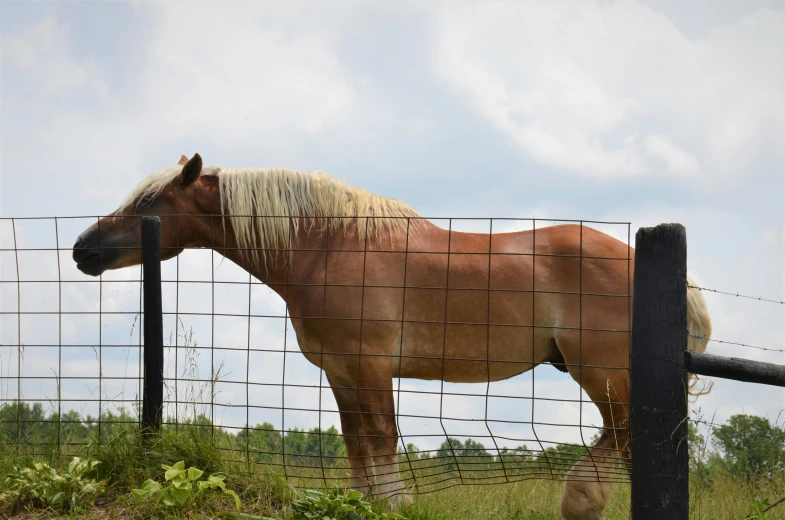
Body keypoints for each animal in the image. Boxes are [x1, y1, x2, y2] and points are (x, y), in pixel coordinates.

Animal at [73, 154, 712, 520]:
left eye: (150, 202)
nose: (83, 250)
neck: (328, 246)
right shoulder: (340, 372)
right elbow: (356, 443)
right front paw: (363, 502)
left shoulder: (372, 366)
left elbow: (382, 438)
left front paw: (395, 503)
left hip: (603, 373)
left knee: (625, 438)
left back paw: (579, 500)